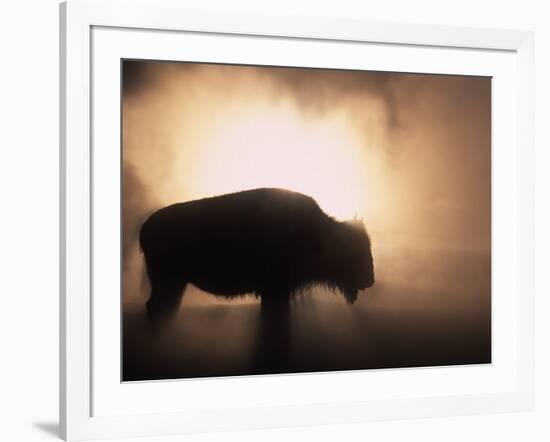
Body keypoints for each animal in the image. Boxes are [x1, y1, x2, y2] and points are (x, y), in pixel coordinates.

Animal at [140, 186, 378, 322]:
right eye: (354, 249)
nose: (370, 279)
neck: (319, 232)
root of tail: (146, 226)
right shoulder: (274, 291)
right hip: (167, 282)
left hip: (176, 283)